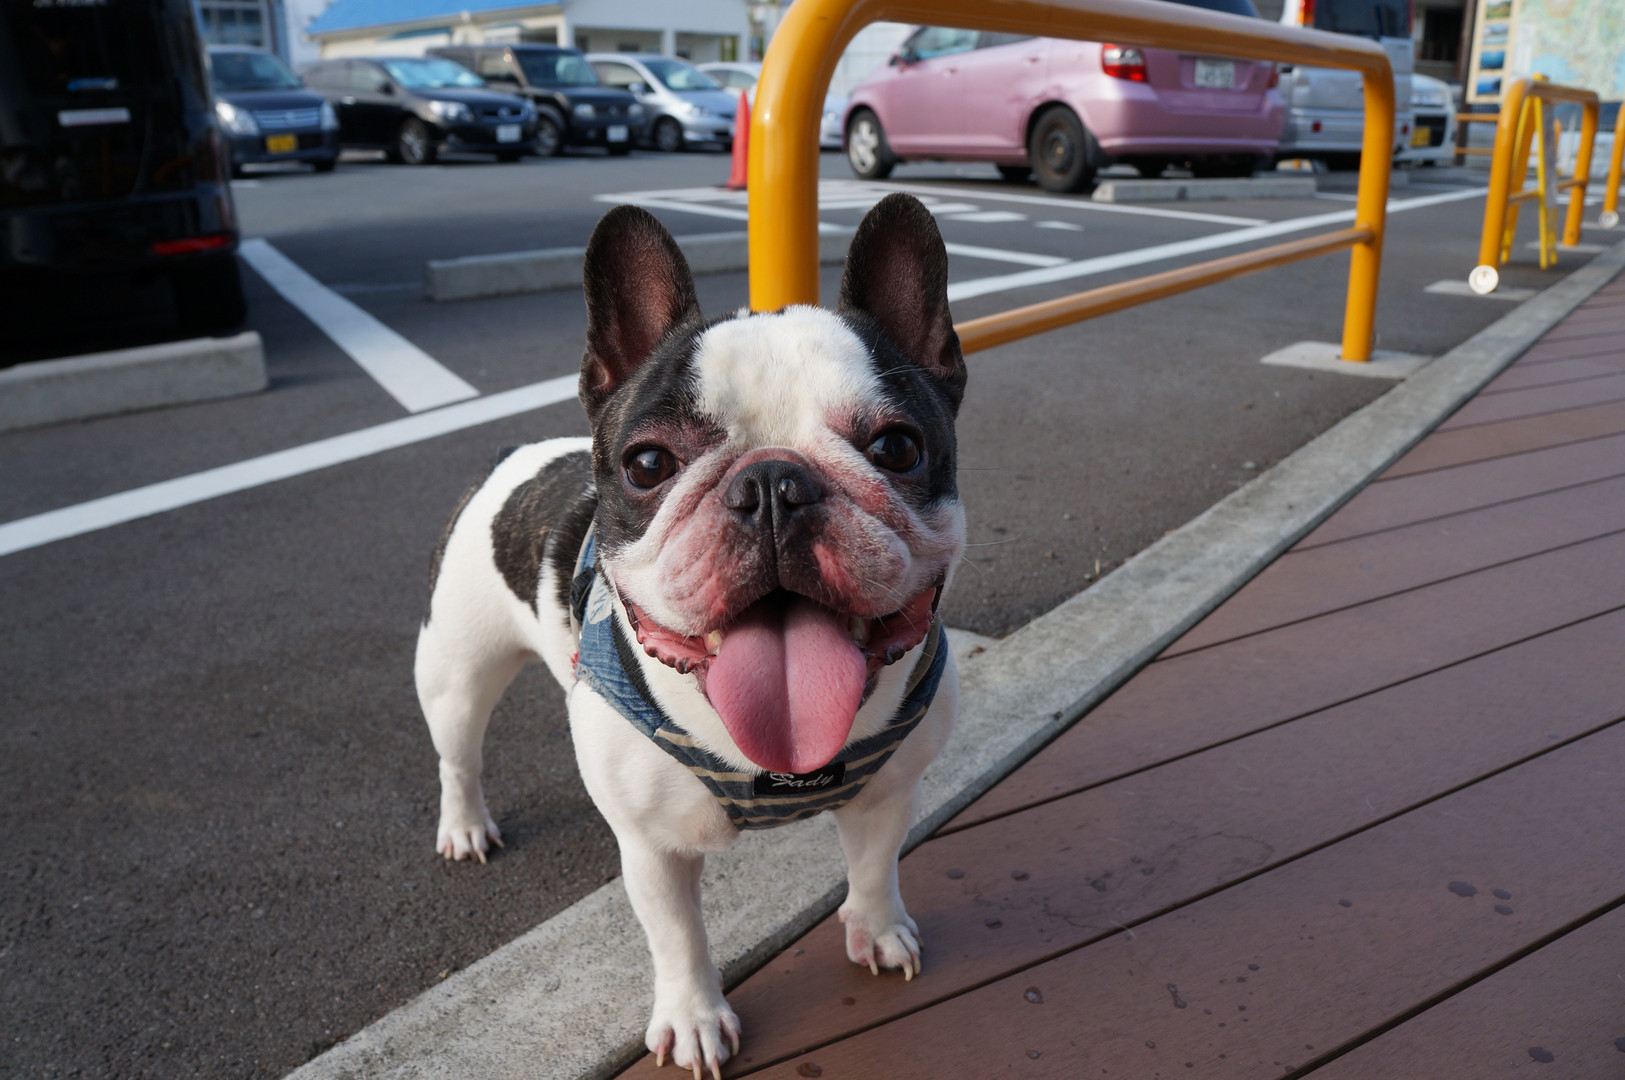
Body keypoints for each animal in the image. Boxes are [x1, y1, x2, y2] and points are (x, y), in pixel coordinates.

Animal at [415, 192, 967, 1076]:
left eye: (897, 447)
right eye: (647, 464)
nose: (773, 482)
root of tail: (514, 452)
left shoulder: (887, 793)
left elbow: (874, 867)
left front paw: (877, 931)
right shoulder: (652, 850)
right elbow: (676, 937)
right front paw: (694, 1017)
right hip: (455, 672)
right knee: (458, 752)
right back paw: (464, 826)